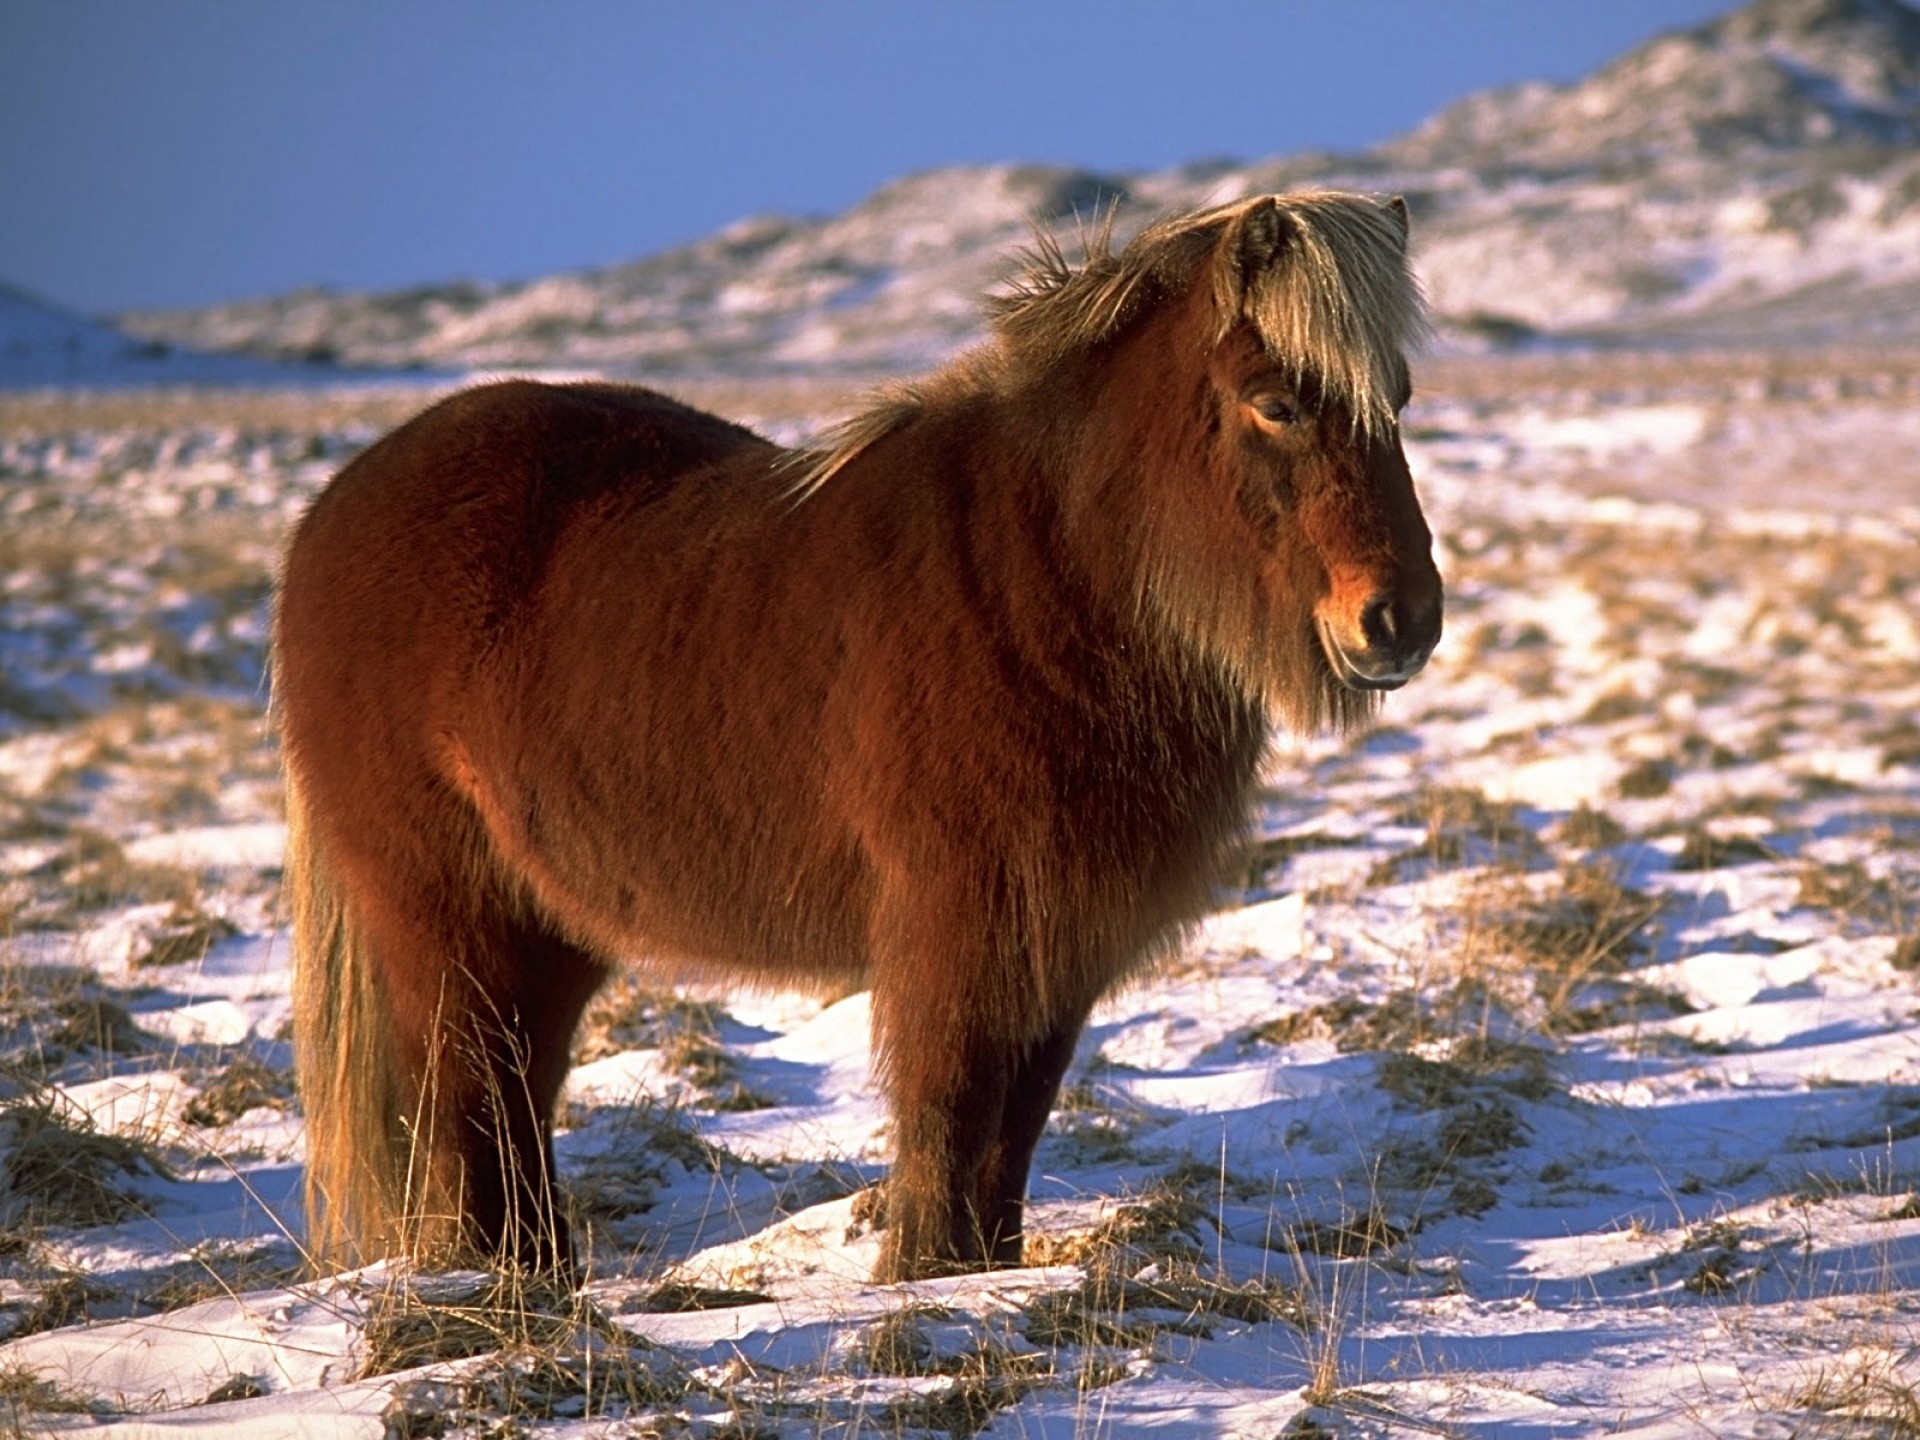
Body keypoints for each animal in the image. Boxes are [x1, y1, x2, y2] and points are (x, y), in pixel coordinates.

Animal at [270, 192, 1443, 1282]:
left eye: (1396, 399)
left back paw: (541, 1271)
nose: (1402, 621)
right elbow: (949, 1105)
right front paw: (921, 1278)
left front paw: (983, 1272)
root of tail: (334, 507)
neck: (1047, 576)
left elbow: (1013, 1127)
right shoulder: (958, 927)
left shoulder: (1058, 941)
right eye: (1277, 402)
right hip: (445, 910)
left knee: (518, 1088)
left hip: (547, 921)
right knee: (469, 1090)